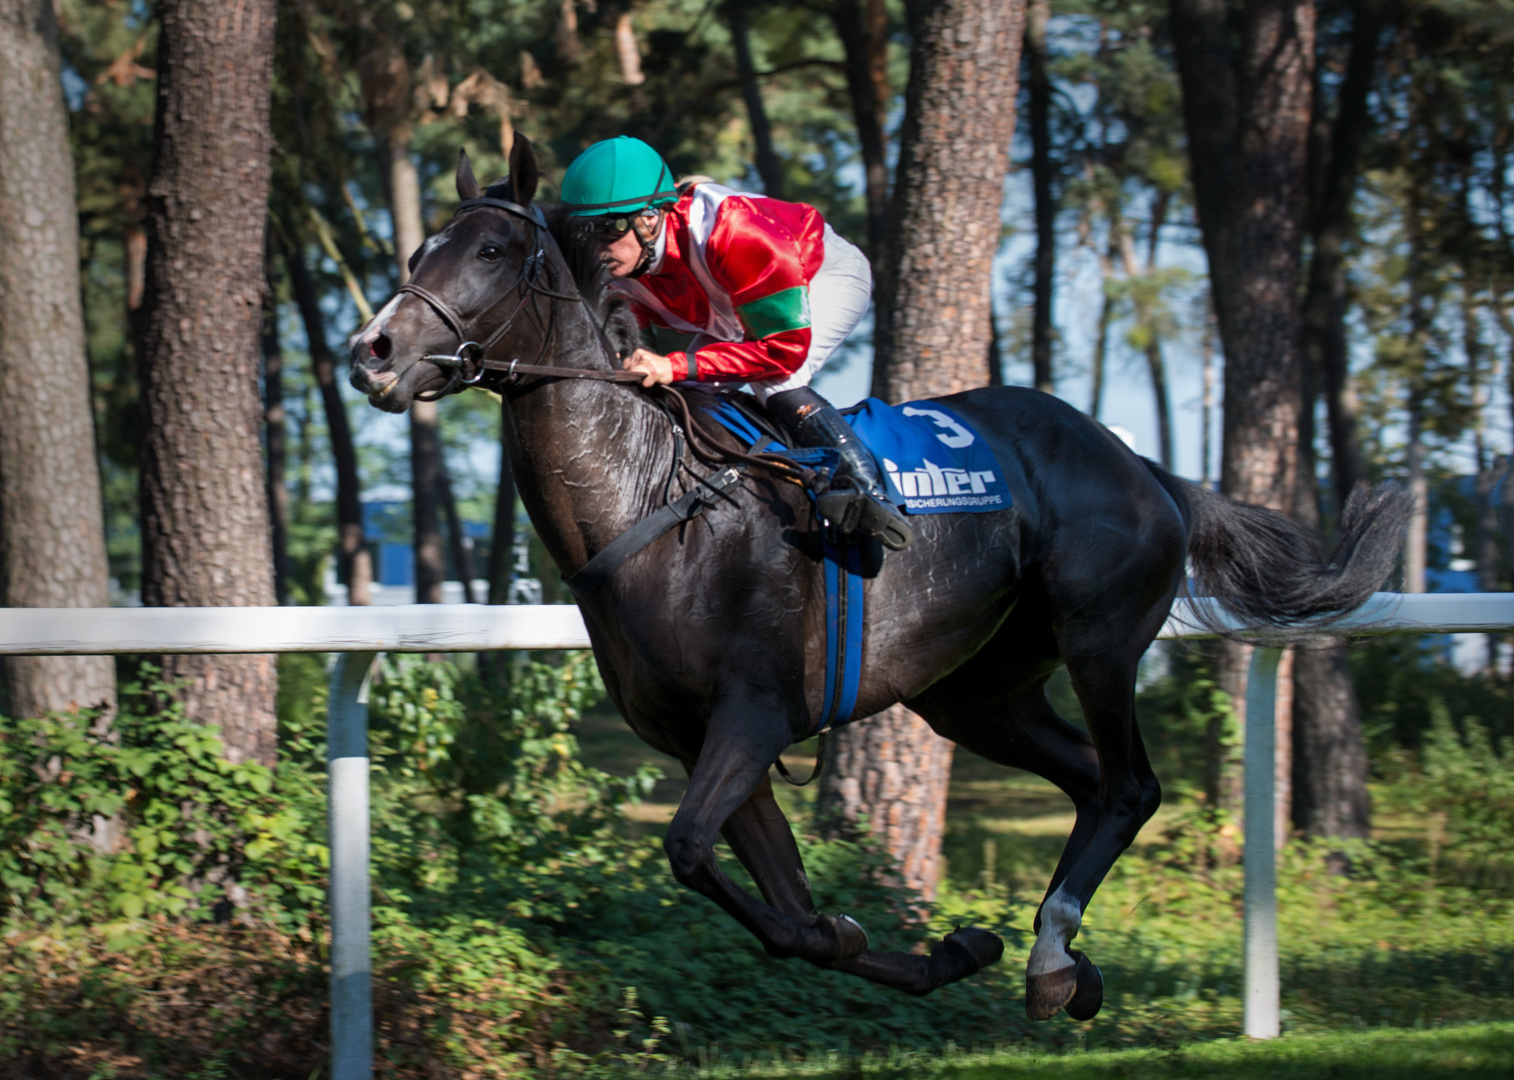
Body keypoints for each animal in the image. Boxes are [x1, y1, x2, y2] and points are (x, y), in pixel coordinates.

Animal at [346, 139, 1404, 1023]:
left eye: (490, 250)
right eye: (419, 249)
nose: (371, 352)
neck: (654, 503)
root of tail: (1146, 467)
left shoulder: (755, 713)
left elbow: (691, 850)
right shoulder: (701, 740)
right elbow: (779, 912)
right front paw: (936, 949)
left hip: (1100, 639)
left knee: (1131, 786)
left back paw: (1053, 956)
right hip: (976, 692)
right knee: (1090, 781)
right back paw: (1061, 958)